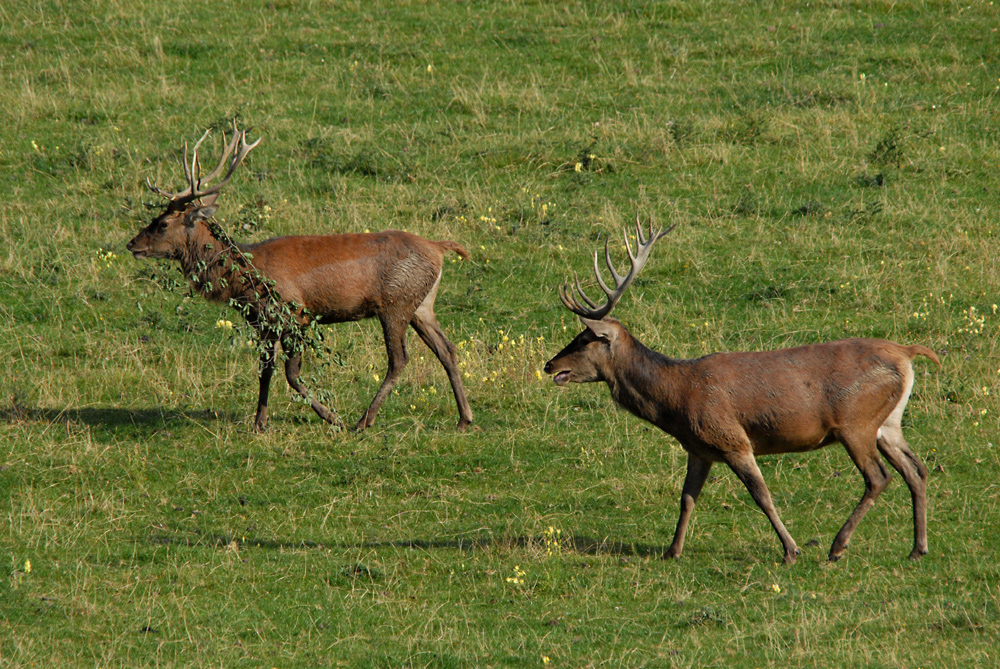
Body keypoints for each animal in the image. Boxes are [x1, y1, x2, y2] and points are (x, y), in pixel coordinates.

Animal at [128, 126, 472, 434]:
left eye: (162, 223)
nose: (132, 244)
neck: (247, 278)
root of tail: (439, 248)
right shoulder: (263, 322)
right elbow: (264, 371)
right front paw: (259, 423)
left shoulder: (295, 313)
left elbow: (291, 373)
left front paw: (332, 418)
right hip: (421, 305)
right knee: (447, 349)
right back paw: (464, 419)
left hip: (395, 304)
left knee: (399, 359)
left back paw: (364, 421)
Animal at [544, 218, 940, 560]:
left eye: (584, 339)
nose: (550, 365)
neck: (676, 399)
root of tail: (907, 353)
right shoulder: (699, 448)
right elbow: (687, 498)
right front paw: (672, 551)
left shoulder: (731, 438)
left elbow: (761, 495)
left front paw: (791, 550)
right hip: (888, 422)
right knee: (916, 470)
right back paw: (917, 548)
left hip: (855, 423)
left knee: (878, 477)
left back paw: (838, 546)